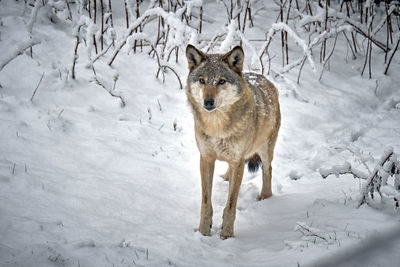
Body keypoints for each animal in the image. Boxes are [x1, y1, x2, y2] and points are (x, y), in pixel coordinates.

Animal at [185, 45, 282, 240]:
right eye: (202, 80)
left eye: (221, 81)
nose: (208, 102)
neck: (217, 127)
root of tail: (262, 78)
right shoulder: (206, 158)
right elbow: (206, 203)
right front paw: (203, 231)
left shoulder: (238, 161)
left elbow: (231, 204)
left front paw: (227, 235)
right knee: (231, 172)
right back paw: (225, 178)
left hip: (265, 150)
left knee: (267, 170)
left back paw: (265, 197)